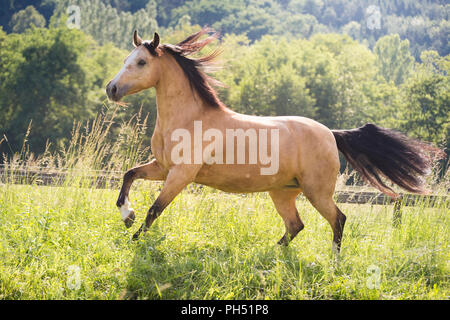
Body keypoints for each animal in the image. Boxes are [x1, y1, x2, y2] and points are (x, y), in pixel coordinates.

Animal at [106, 28, 442, 252]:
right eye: (125, 58)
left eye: (141, 62)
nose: (111, 89)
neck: (188, 119)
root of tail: (331, 134)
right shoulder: (161, 166)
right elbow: (128, 176)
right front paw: (126, 216)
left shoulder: (180, 174)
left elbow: (155, 209)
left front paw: (134, 238)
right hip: (283, 192)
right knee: (296, 225)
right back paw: (271, 255)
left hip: (317, 192)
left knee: (338, 219)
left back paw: (332, 261)